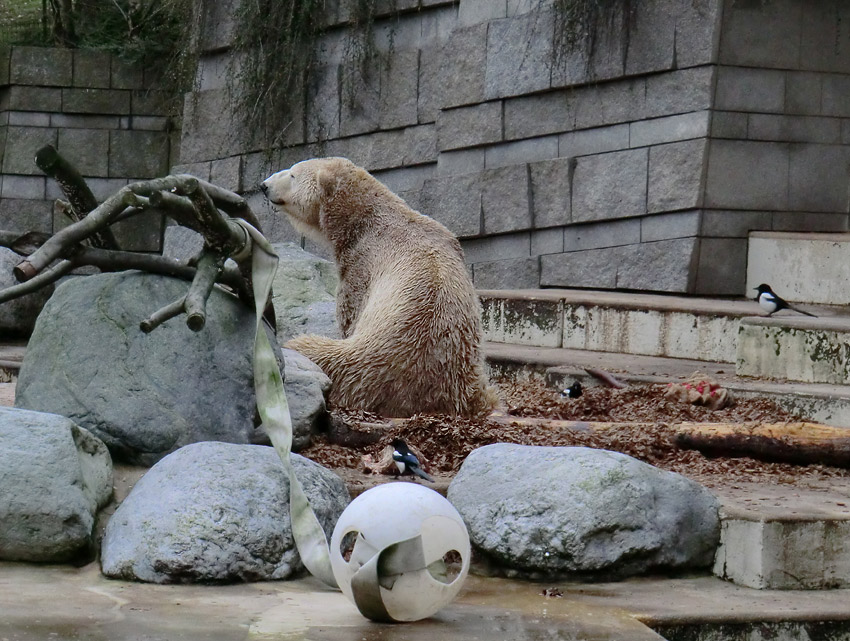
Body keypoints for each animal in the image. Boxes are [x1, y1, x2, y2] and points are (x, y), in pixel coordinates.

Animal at [262, 158, 494, 418]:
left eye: (292, 174)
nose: (264, 186)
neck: (367, 218)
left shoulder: (361, 264)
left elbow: (350, 311)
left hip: (359, 368)